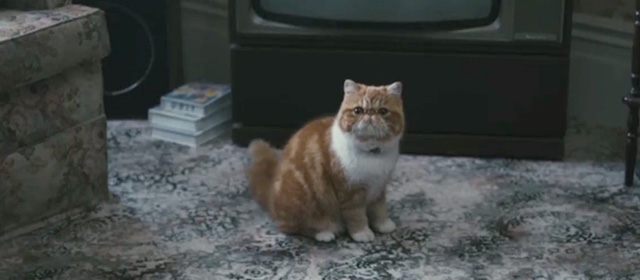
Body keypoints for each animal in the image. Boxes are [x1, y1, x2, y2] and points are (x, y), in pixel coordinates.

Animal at [246, 79, 402, 243]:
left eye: (383, 111)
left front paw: (383, 224)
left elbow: (379, 209)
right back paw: (324, 234)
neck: (372, 155)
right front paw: (362, 232)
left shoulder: (380, 187)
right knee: (294, 228)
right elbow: (356, 216)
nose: (370, 113)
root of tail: (272, 200)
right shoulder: (349, 192)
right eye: (358, 110)